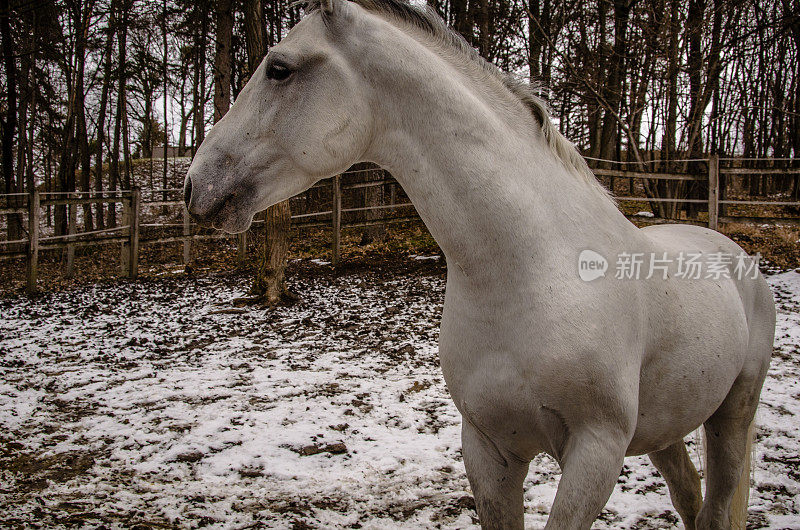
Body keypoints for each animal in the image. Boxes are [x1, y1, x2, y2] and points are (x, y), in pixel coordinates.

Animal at [186, 2, 776, 524]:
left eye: (279, 68)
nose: (195, 186)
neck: (532, 272)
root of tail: (735, 255)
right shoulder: (487, 448)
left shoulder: (596, 451)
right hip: (666, 428)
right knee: (690, 499)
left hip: (731, 416)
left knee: (718, 505)